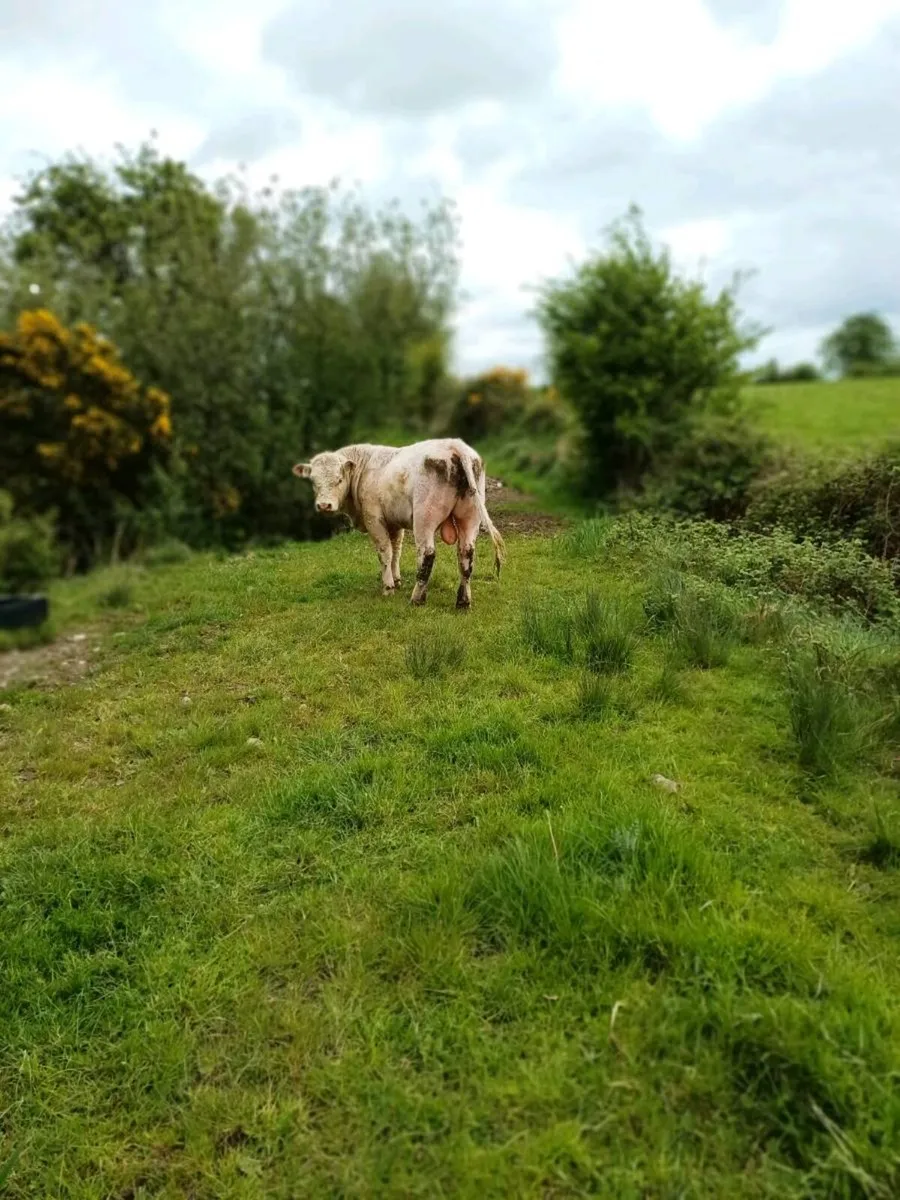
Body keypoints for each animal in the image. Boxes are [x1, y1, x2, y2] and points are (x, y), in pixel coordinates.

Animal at [292, 437, 505, 608]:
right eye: (313, 482)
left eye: (339, 479)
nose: (324, 505)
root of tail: (455, 445)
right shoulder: (394, 522)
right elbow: (396, 551)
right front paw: (397, 580)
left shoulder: (374, 519)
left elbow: (385, 552)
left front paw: (388, 587)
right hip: (470, 517)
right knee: (466, 555)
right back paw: (463, 601)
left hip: (424, 519)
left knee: (427, 555)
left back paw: (417, 599)